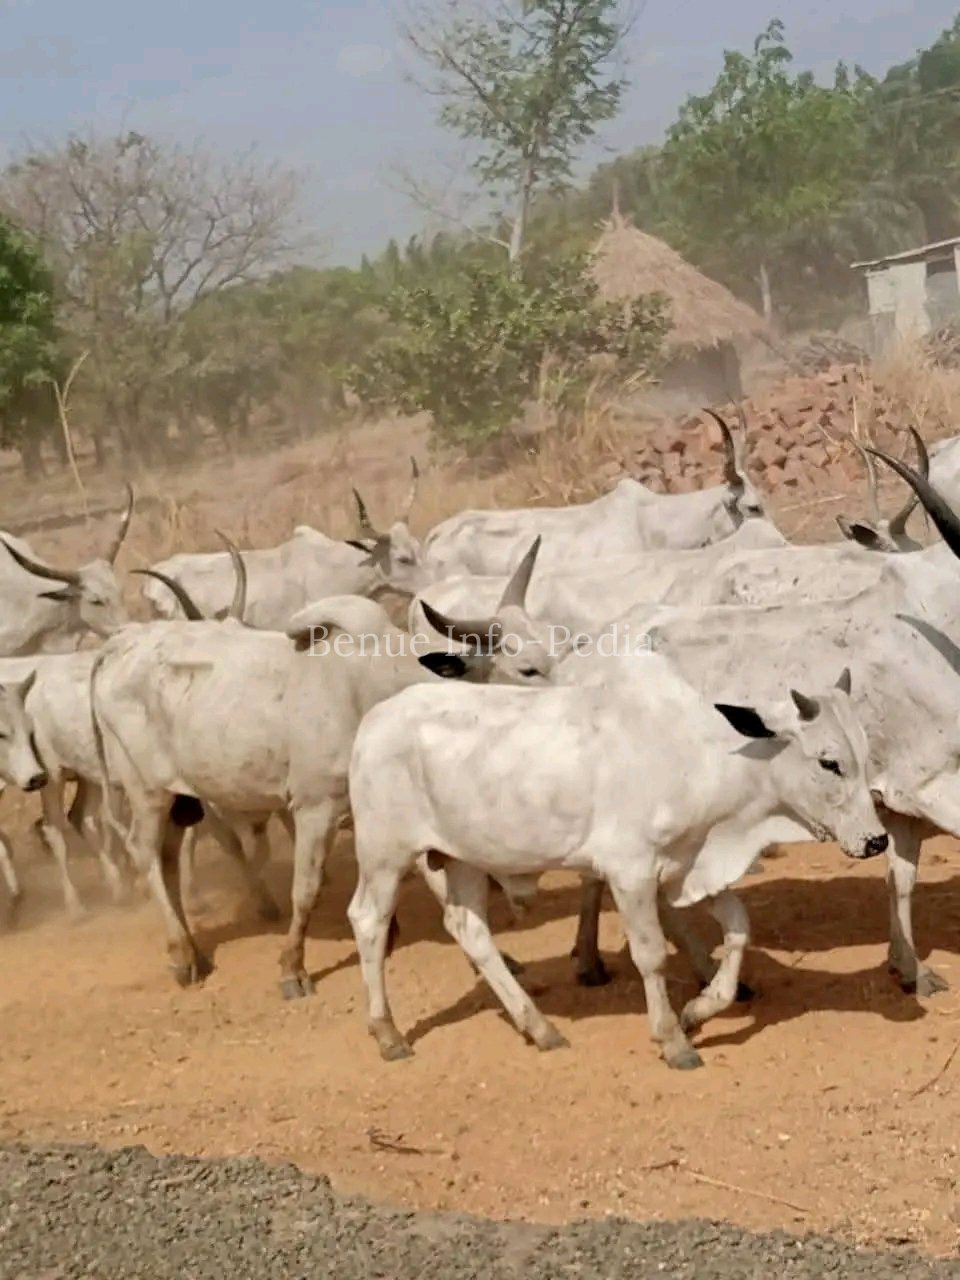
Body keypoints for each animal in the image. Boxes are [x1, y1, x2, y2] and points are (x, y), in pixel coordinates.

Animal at [346, 647, 886, 1070]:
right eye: (829, 762)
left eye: (864, 754)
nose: (877, 841)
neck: (702, 757)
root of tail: (373, 721)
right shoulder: (631, 872)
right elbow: (650, 954)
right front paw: (673, 1039)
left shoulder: (687, 868)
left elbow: (738, 928)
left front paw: (700, 1009)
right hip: (385, 855)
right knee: (369, 922)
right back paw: (388, 1033)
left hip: (463, 860)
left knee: (470, 930)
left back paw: (538, 1027)